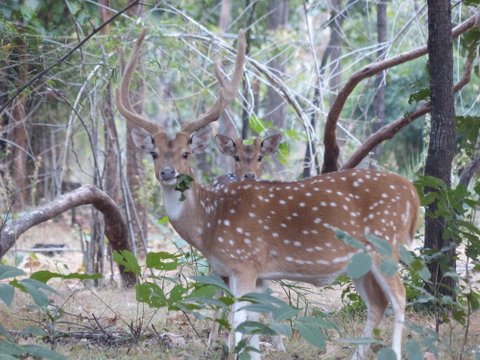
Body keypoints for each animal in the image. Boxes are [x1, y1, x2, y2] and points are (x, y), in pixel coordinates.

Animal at [117, 28, 420, 360]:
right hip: (361, 262)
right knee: (377, 303)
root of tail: (412, 192)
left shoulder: (245, 261)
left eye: (186, 153)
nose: (168, 173)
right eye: (154, 153)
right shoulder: (257, 273)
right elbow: (251, 329)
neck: (209, 224)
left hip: (385, 243)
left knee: (400, 297)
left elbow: (239, 325)